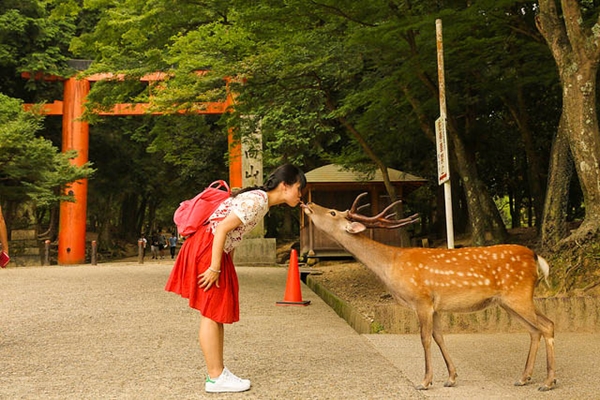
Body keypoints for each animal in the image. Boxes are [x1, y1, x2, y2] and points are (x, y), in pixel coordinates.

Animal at [304, 194, 556, 390]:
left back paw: (548, 381)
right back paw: (524, 378)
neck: (391, 265)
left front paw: (425, 381)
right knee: (534, 330)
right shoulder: (436, 306)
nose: (309, 204)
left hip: (519, 295)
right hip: (506, 301)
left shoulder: (422, 300)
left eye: (333, 212)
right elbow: (439, 337)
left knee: (547, 325)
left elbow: (424, 338)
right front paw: (451, 378)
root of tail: (536, 258)